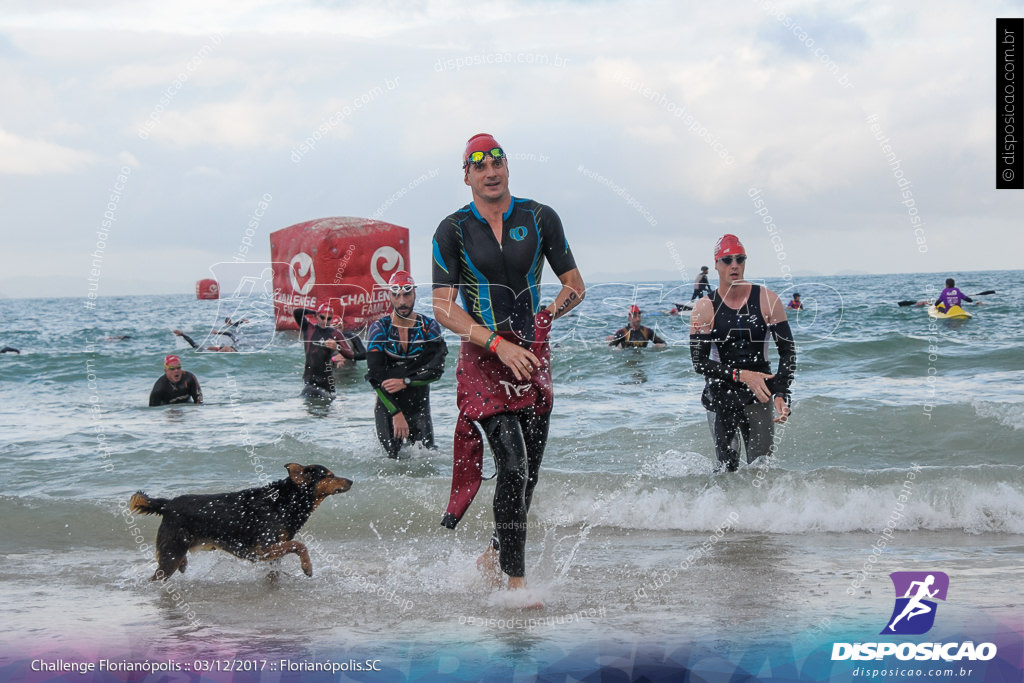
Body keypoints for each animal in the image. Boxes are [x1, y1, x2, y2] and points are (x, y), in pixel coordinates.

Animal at [129, 462, 352, 581]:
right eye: (330, 475)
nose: (351, 481)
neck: (285, 501)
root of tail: (167, 504)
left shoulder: (272, 553)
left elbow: (276, 569)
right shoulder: (262, 549)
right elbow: (300, 545)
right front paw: (307, 567)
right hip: (171, 554)